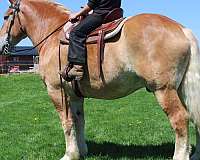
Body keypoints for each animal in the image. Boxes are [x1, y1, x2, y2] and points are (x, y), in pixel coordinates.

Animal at [0, 0, 200, 159]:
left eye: (6, 16)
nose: (2, 45)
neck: (54, 36)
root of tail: (182, 29)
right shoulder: (75, 95)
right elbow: (79, 121)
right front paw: (81, 152)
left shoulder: (57, 91)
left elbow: (67, 122)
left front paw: (69, 154)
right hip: (181, 88)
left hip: (164, 90)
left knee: (180, 119)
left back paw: (180, 156)